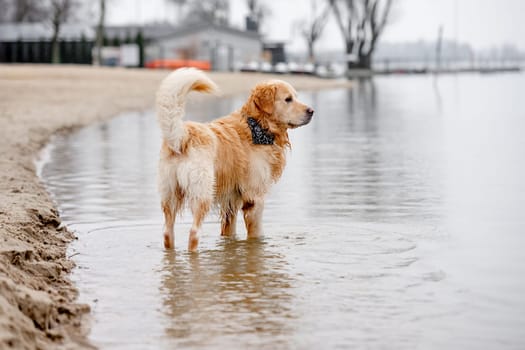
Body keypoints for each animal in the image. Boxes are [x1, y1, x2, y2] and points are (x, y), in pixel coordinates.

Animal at [155, 68, 312, 250]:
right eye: (288, 99)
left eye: (296, 97)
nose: (311, 111)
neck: (257, 127)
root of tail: (182, 136)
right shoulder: (254, 199)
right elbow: (257, 235)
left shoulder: (230, 202)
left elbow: (229, 233)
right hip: (202, 194)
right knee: (194, 233)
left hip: (169, 196)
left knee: (167, 233)